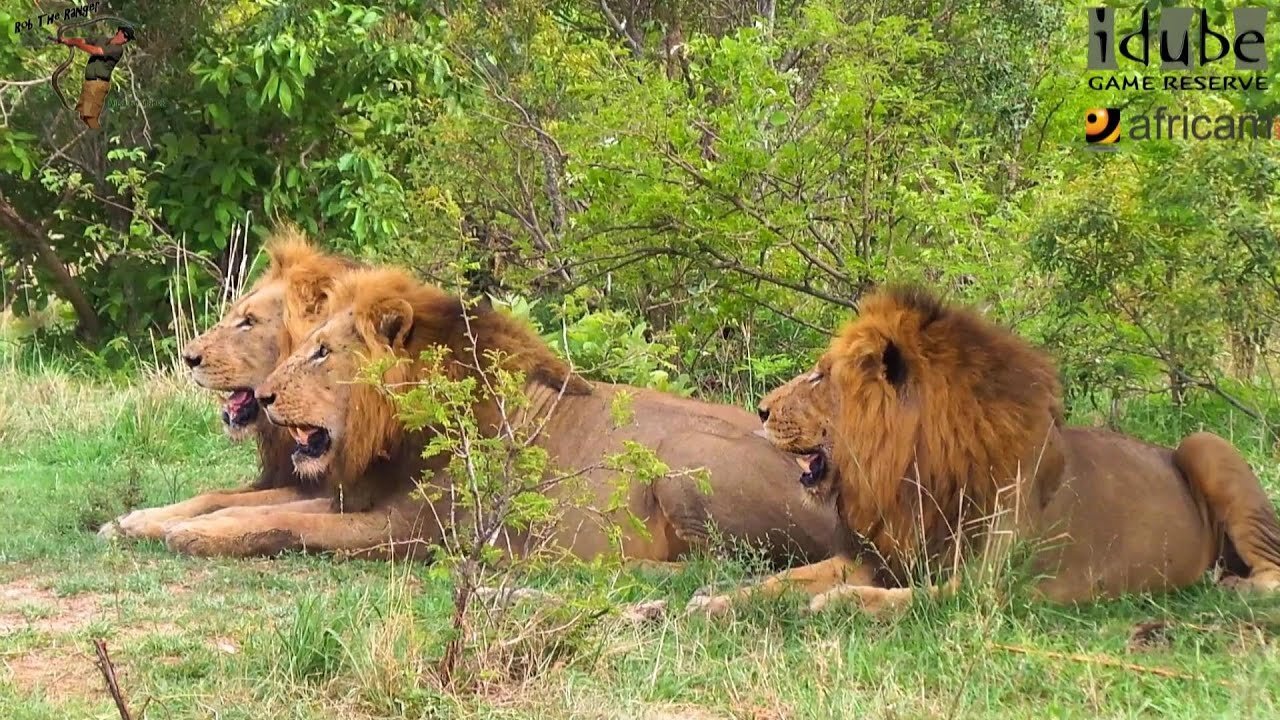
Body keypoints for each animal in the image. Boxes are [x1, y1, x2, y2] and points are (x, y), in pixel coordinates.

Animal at [97, 224, 360, 538]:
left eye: (248, 321)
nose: (188, 358)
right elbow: (213, 495)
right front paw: (131, 520)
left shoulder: (318, 486)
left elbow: (223, 501)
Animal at [160, 263, 844, 561]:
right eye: (308, 342)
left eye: (325, 352)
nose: (267, 397)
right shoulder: (362, 497)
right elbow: (263, 508)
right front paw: (172, 522)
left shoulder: (417, 529)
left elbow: (285, 524)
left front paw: (191, 533)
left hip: (684, 460)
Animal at [691, 283, 1280, 614]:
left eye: (819, 376)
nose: (761, 410)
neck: (912, 476)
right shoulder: (889, 557)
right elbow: (779, 579)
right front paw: (714, 599)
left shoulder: (990, 586)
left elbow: (904, 601)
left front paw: (839, 603)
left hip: (1208, 444)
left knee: (1270, 572)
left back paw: (1232, 588)